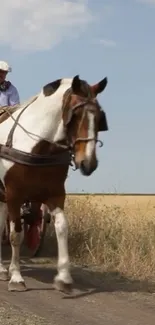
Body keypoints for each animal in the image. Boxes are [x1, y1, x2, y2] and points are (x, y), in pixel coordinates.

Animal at [0, 74, 108, 292]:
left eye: (99, 117)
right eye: (75, 115)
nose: (89, 163)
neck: (37, 146)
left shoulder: (55, 193)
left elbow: (62, 227)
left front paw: (64, 277)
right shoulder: (14, 194)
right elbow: (16, 235)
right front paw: (16, 277)